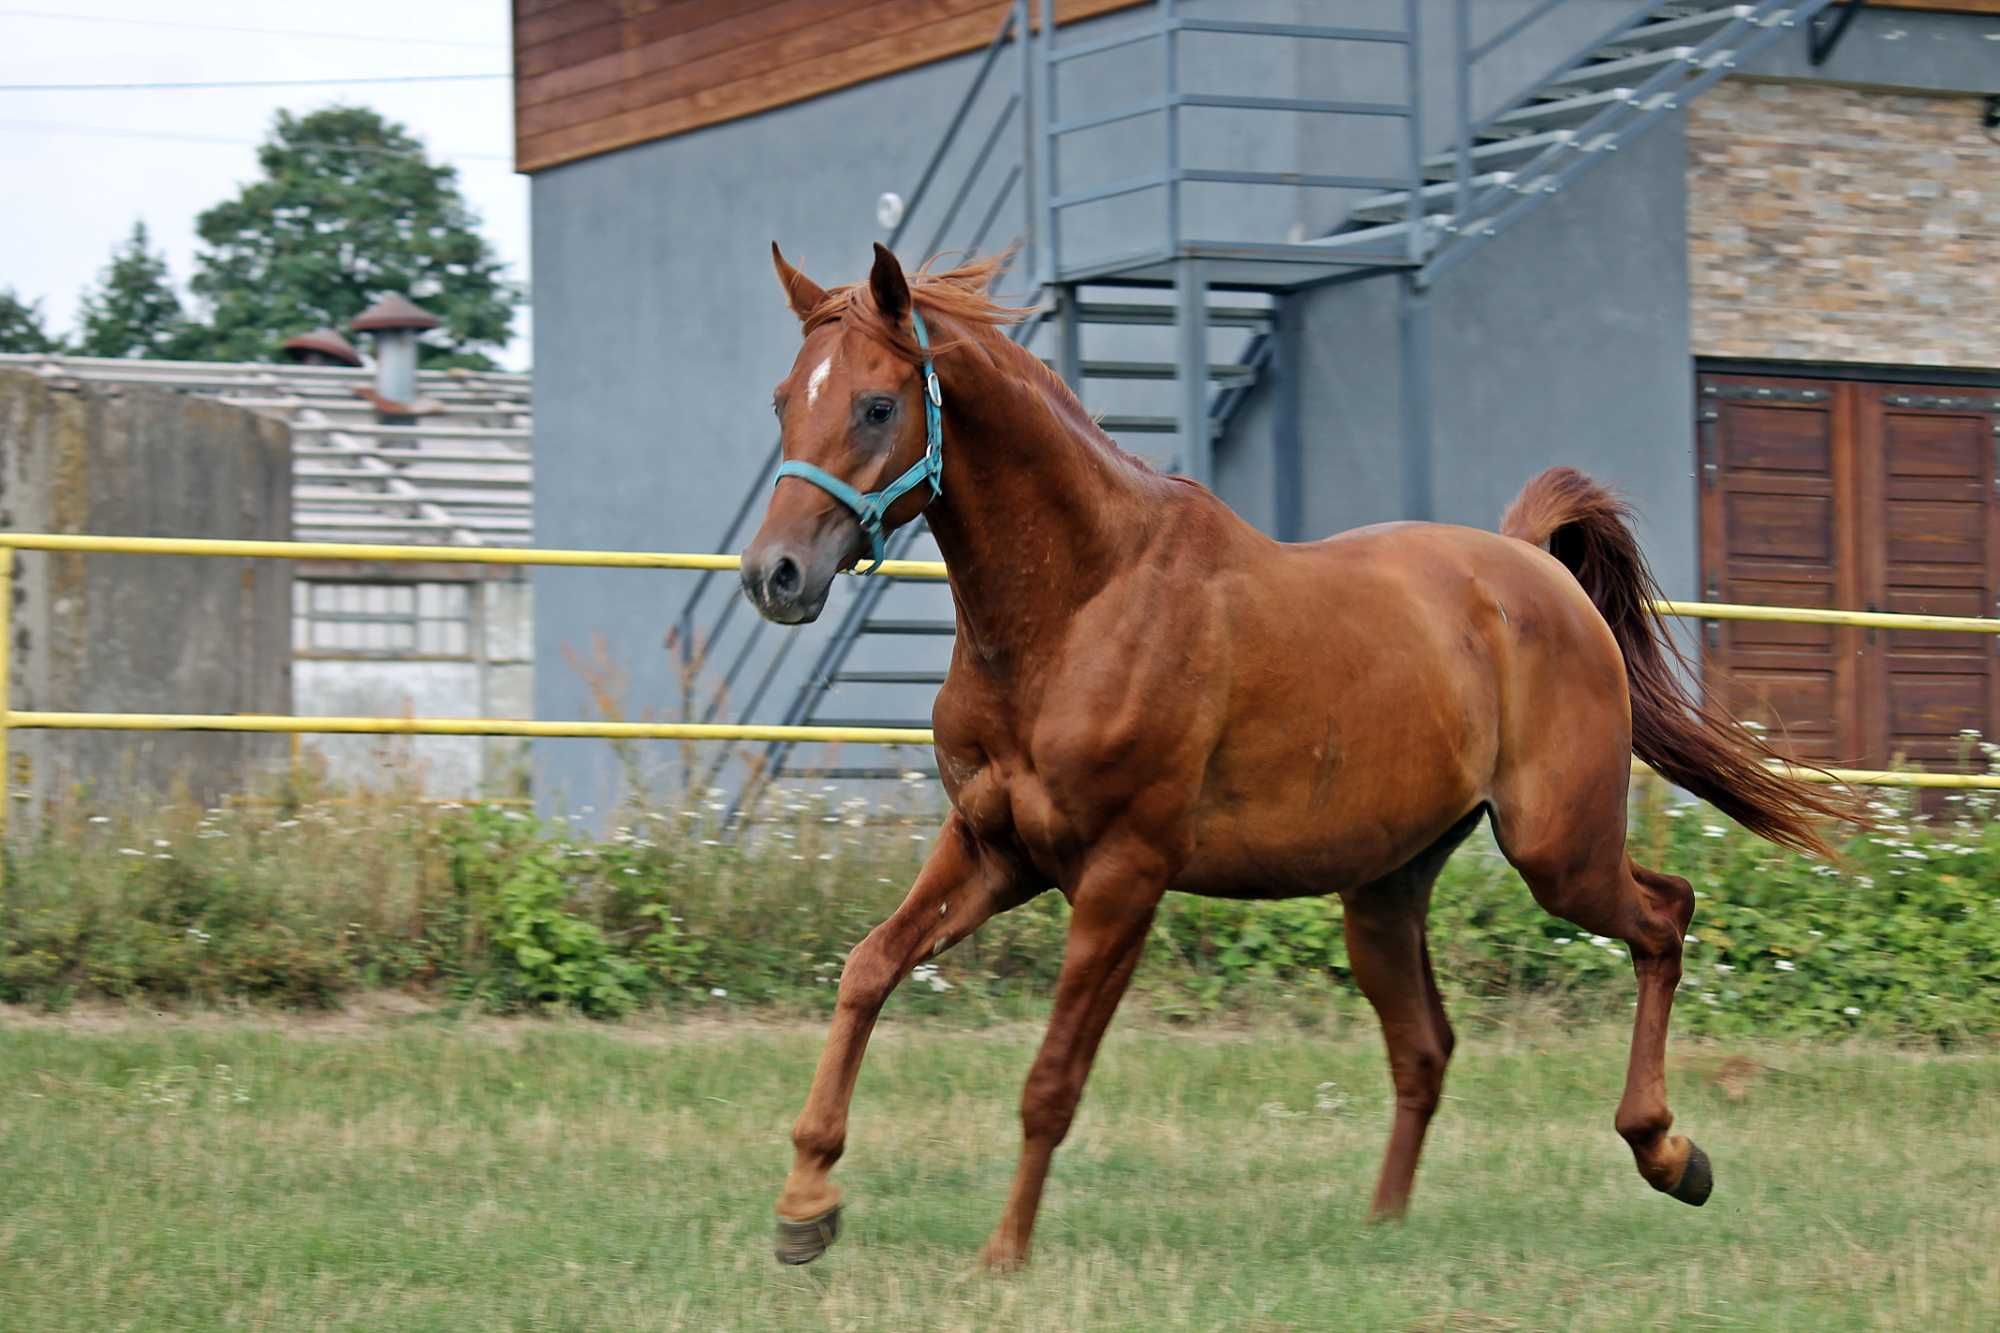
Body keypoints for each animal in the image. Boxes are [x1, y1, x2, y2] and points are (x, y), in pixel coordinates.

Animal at [744, 241, 1848, 1264]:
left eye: (876, 406)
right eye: (782, 401)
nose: (774, 575)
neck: (1082, 602)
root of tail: (1533, 569)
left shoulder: (1122, 875)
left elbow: (1051, 1079)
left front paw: (1001, 1255)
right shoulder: (993, 847)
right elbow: (867, 969)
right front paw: (805, 1205)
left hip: (1557, 851)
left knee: (1663, 917)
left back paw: (1668, 1151)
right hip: (1386, 889)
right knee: (1426, 1046)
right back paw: (1382, 1227)